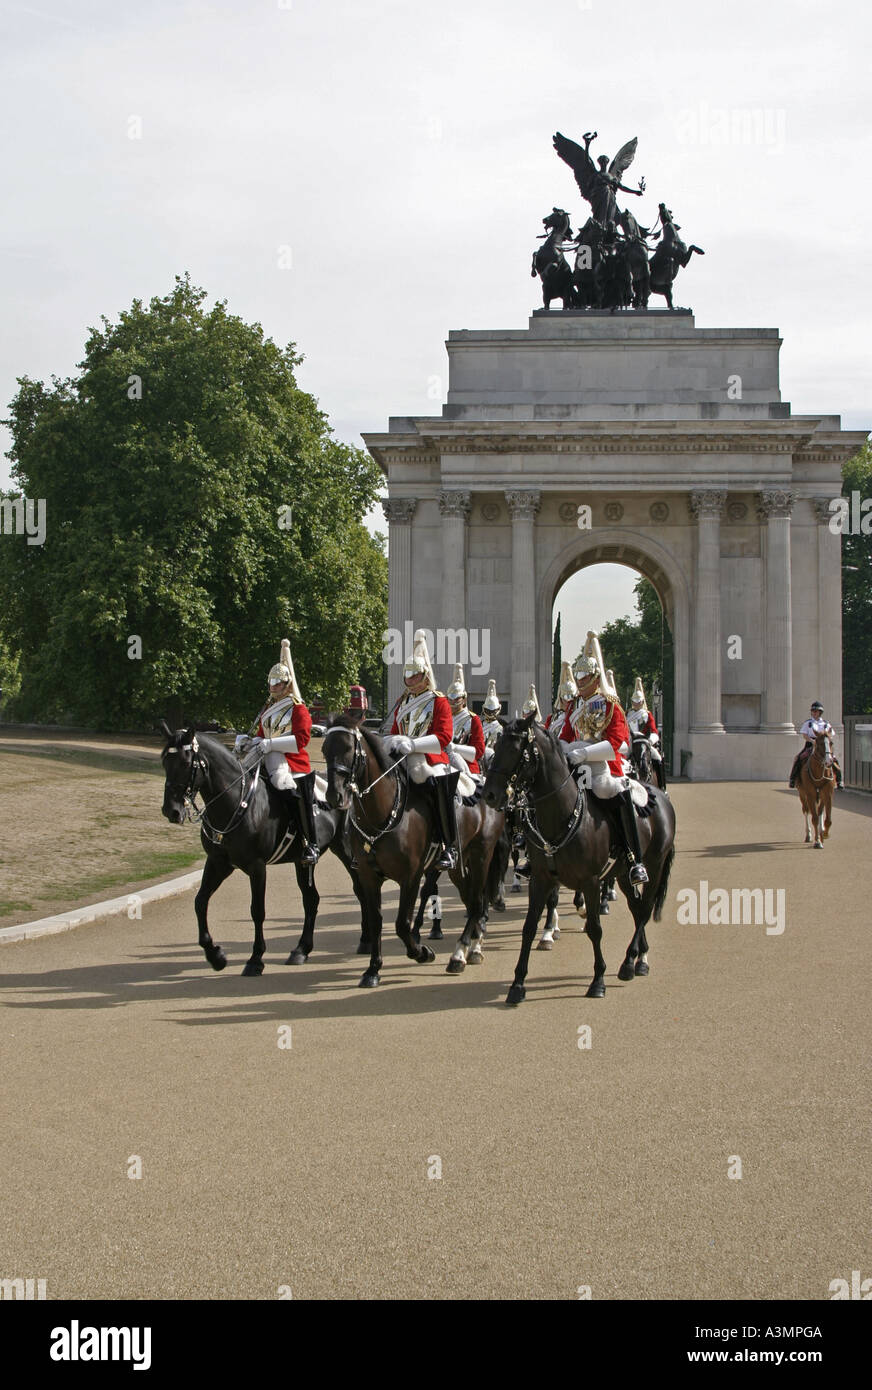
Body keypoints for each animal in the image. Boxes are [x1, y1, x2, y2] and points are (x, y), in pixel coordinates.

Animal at [159, 722, 361, 973]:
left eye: (186, 763)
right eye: (165, 761)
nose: (171, 810)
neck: (237, 803)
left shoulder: (256, 867)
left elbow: (257, 910)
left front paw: (255, 959)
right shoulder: (218, 863)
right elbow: (200, 901)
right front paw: (215, 955)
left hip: (345, 850)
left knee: (360, 888)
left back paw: (365, 942)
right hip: (302, 861)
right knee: (311, 899)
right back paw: (301, 950)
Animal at [325, 717, 506, 989]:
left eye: (348, 749)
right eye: (325, 750)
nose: (333, 796)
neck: (383, 814)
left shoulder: (410, 876)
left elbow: (402, 924)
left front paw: (422, 952)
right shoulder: (368, 876)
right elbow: (376, 921)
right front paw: (373, 970)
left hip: (482, 855)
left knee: (476, 903)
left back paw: (460, 954)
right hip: (460, 866)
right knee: (471, 901)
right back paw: (472, 946)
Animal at [481, 717, 678, 1000]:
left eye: (517, 749)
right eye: (496, 746)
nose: (489, 794)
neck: (562, 815)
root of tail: (661, 797)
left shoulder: (591, 881)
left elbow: (595, 929)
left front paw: (598, 980)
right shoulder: (541, 879)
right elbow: (529, 927)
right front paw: (517, 984)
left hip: (654, 865)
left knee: (645, 909)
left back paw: (630, 962)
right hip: (623, 873)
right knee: (636, 906)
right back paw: (639, 958)